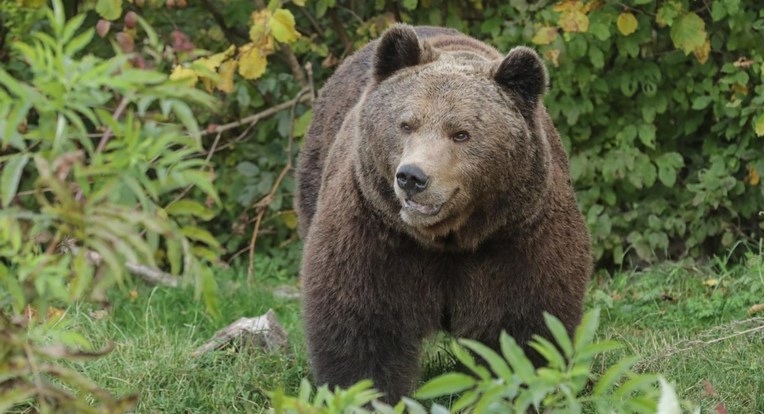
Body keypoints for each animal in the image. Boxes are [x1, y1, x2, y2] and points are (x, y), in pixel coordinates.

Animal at [294, 24, 592, 402]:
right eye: (406, 124)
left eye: (461, 133)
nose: (411, 177)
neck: (448, 238)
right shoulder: (376, 232)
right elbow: (362, 327)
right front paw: (364, 394)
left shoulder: (518, 235)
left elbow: (525, 326)